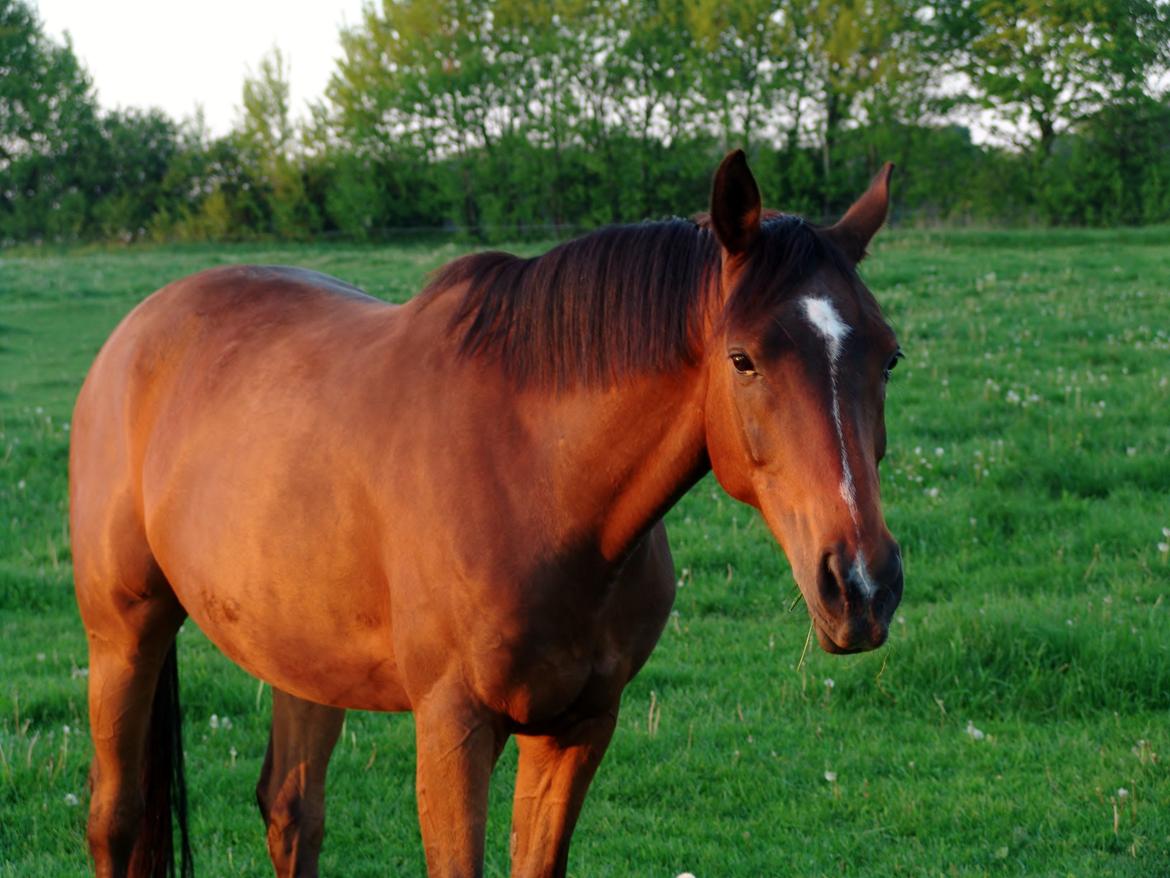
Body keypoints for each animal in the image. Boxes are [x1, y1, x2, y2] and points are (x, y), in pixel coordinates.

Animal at [70, 149, 903, 875]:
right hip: (124, 635)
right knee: (116, 819)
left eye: (889, 355)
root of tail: (136, 333)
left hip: (300, 657)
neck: (536, 480)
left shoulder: (579, 726)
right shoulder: (454, 728)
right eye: (743, 358)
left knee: (291, 812)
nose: (862, 586)